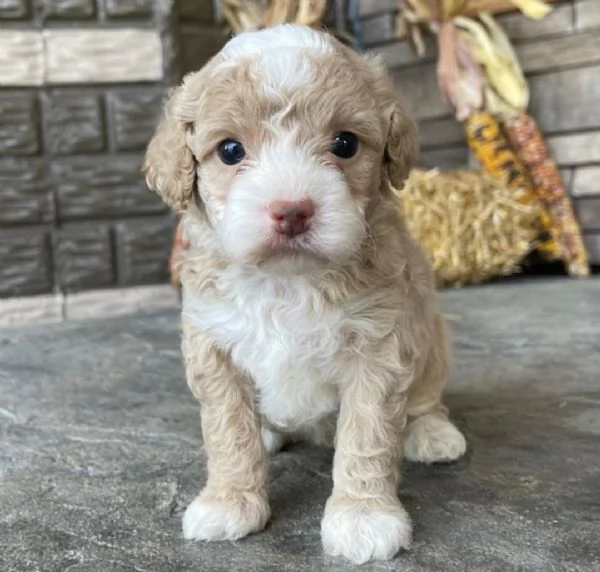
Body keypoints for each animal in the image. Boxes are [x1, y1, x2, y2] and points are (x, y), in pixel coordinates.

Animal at [143, 24, 466, 564]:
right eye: (230, 151)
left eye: (345, 144)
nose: (291, 210)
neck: (286, 279)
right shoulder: (213, 342)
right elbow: (228, 431)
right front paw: (229, 500)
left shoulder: (380, 344)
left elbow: (368, 433)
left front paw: (363, 517)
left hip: (432, 336)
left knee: (425, 399)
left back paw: (432, 433)